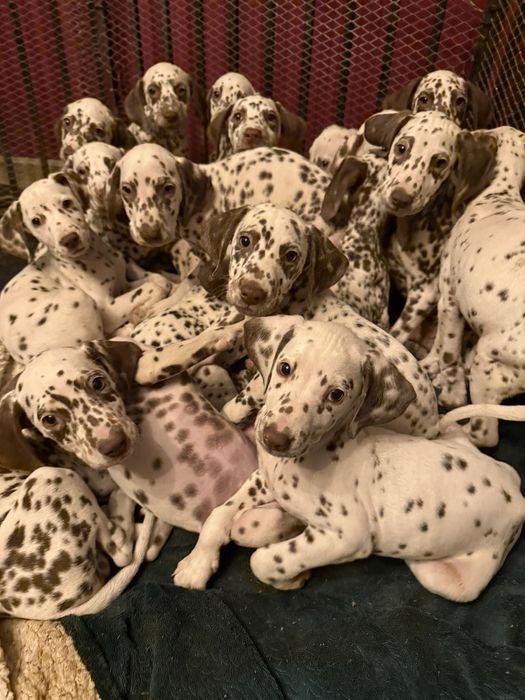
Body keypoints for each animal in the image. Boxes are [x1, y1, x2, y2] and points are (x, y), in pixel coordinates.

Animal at [173, 316, 525, 602]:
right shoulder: (264, 479)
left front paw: (293, 577)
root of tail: (516, 489)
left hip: (452, 584)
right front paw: (197, 564)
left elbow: (262, 561)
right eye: (285, 368)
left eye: (336, 395)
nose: (275, 438)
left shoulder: (348, 536)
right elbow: (218, 515)